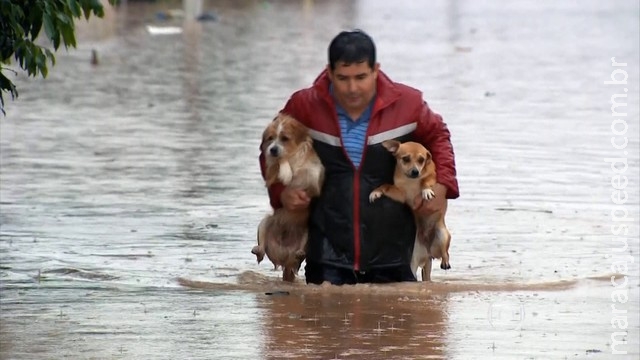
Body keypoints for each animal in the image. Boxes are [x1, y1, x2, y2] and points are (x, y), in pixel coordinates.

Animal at [252, 114, 324, 282]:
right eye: (270, 138)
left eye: (284, 138)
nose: (272, 149)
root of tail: (285, 258)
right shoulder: (270, 175)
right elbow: (278, 163)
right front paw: (286, 172)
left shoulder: (315, 181)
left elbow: (309, 173)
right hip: (265, 222)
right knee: (262, 250)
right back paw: (258, 249)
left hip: (308, 234)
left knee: (299, 253)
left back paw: (299, 253)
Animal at [368, 139, 452, 282]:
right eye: (406, 159)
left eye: (421, 160)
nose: (415, 172)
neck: (410, 181)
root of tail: (428, 252)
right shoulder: (400, 194)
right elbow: (386, 186)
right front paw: (376, 192)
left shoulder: (432, 177)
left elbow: (426, 181)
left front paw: (426, 191)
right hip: (413, 259)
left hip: (442, 234)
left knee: (445, 252)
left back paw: (445, 262)